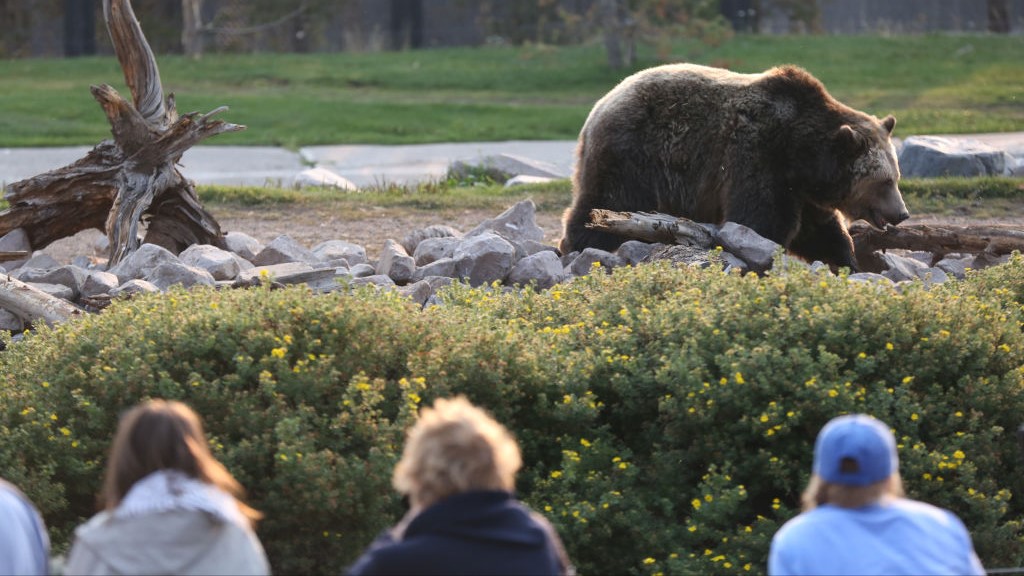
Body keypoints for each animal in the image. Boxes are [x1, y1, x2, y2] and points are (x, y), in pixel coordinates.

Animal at [558, 63, 909, 271]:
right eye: (884, 182)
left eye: (896, 176)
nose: (901, 213)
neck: (803, 154)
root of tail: (599, 106)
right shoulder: (758, 154)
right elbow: (760, 220)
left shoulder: (803, 190)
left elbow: (820, 230)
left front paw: (847, 262)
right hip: (634, 151)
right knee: (610, 198)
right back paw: (584, 242)